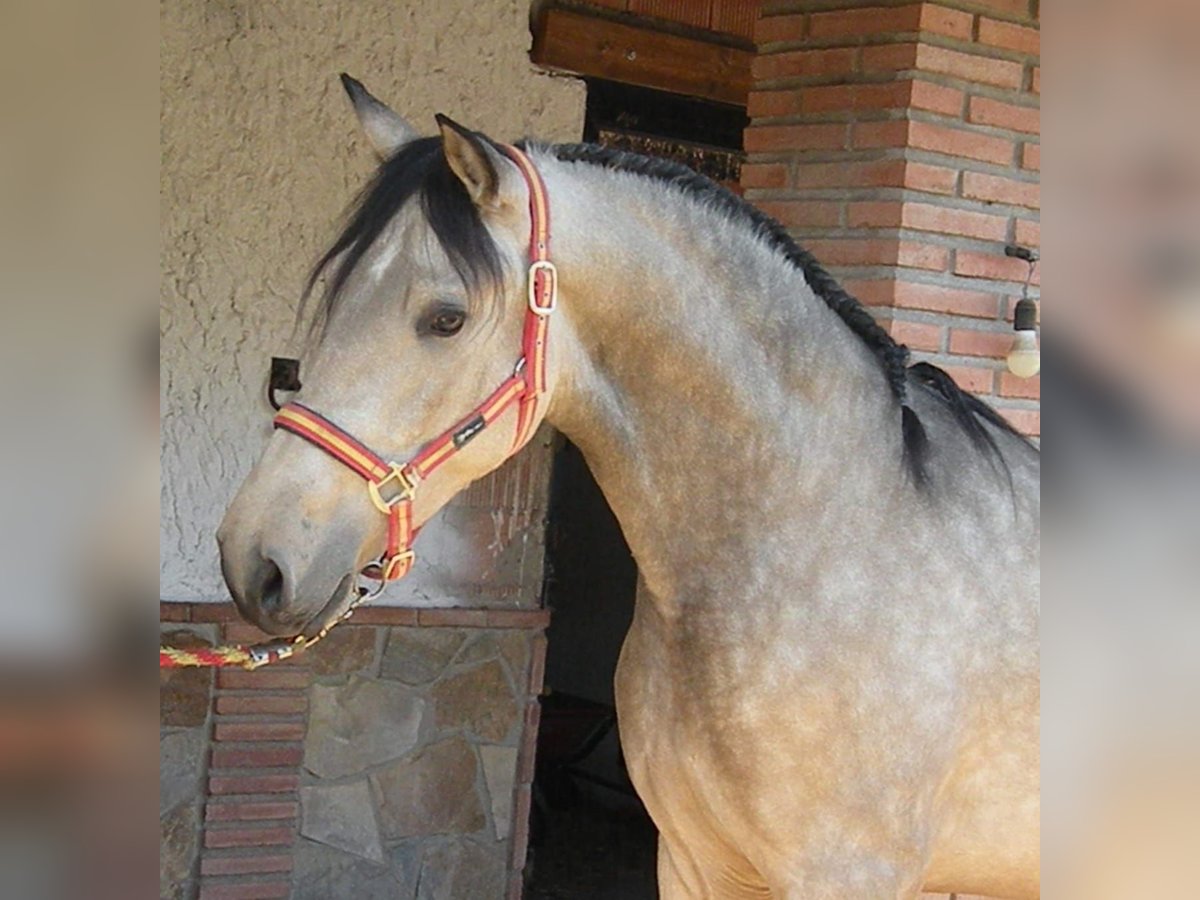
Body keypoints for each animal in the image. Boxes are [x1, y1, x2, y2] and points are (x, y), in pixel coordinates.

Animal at [218, 79, 1041, 900]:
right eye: (334, 298)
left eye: (446, 318)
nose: (254, 558)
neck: (831, 539)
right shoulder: (691, 861)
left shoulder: (847, 874)